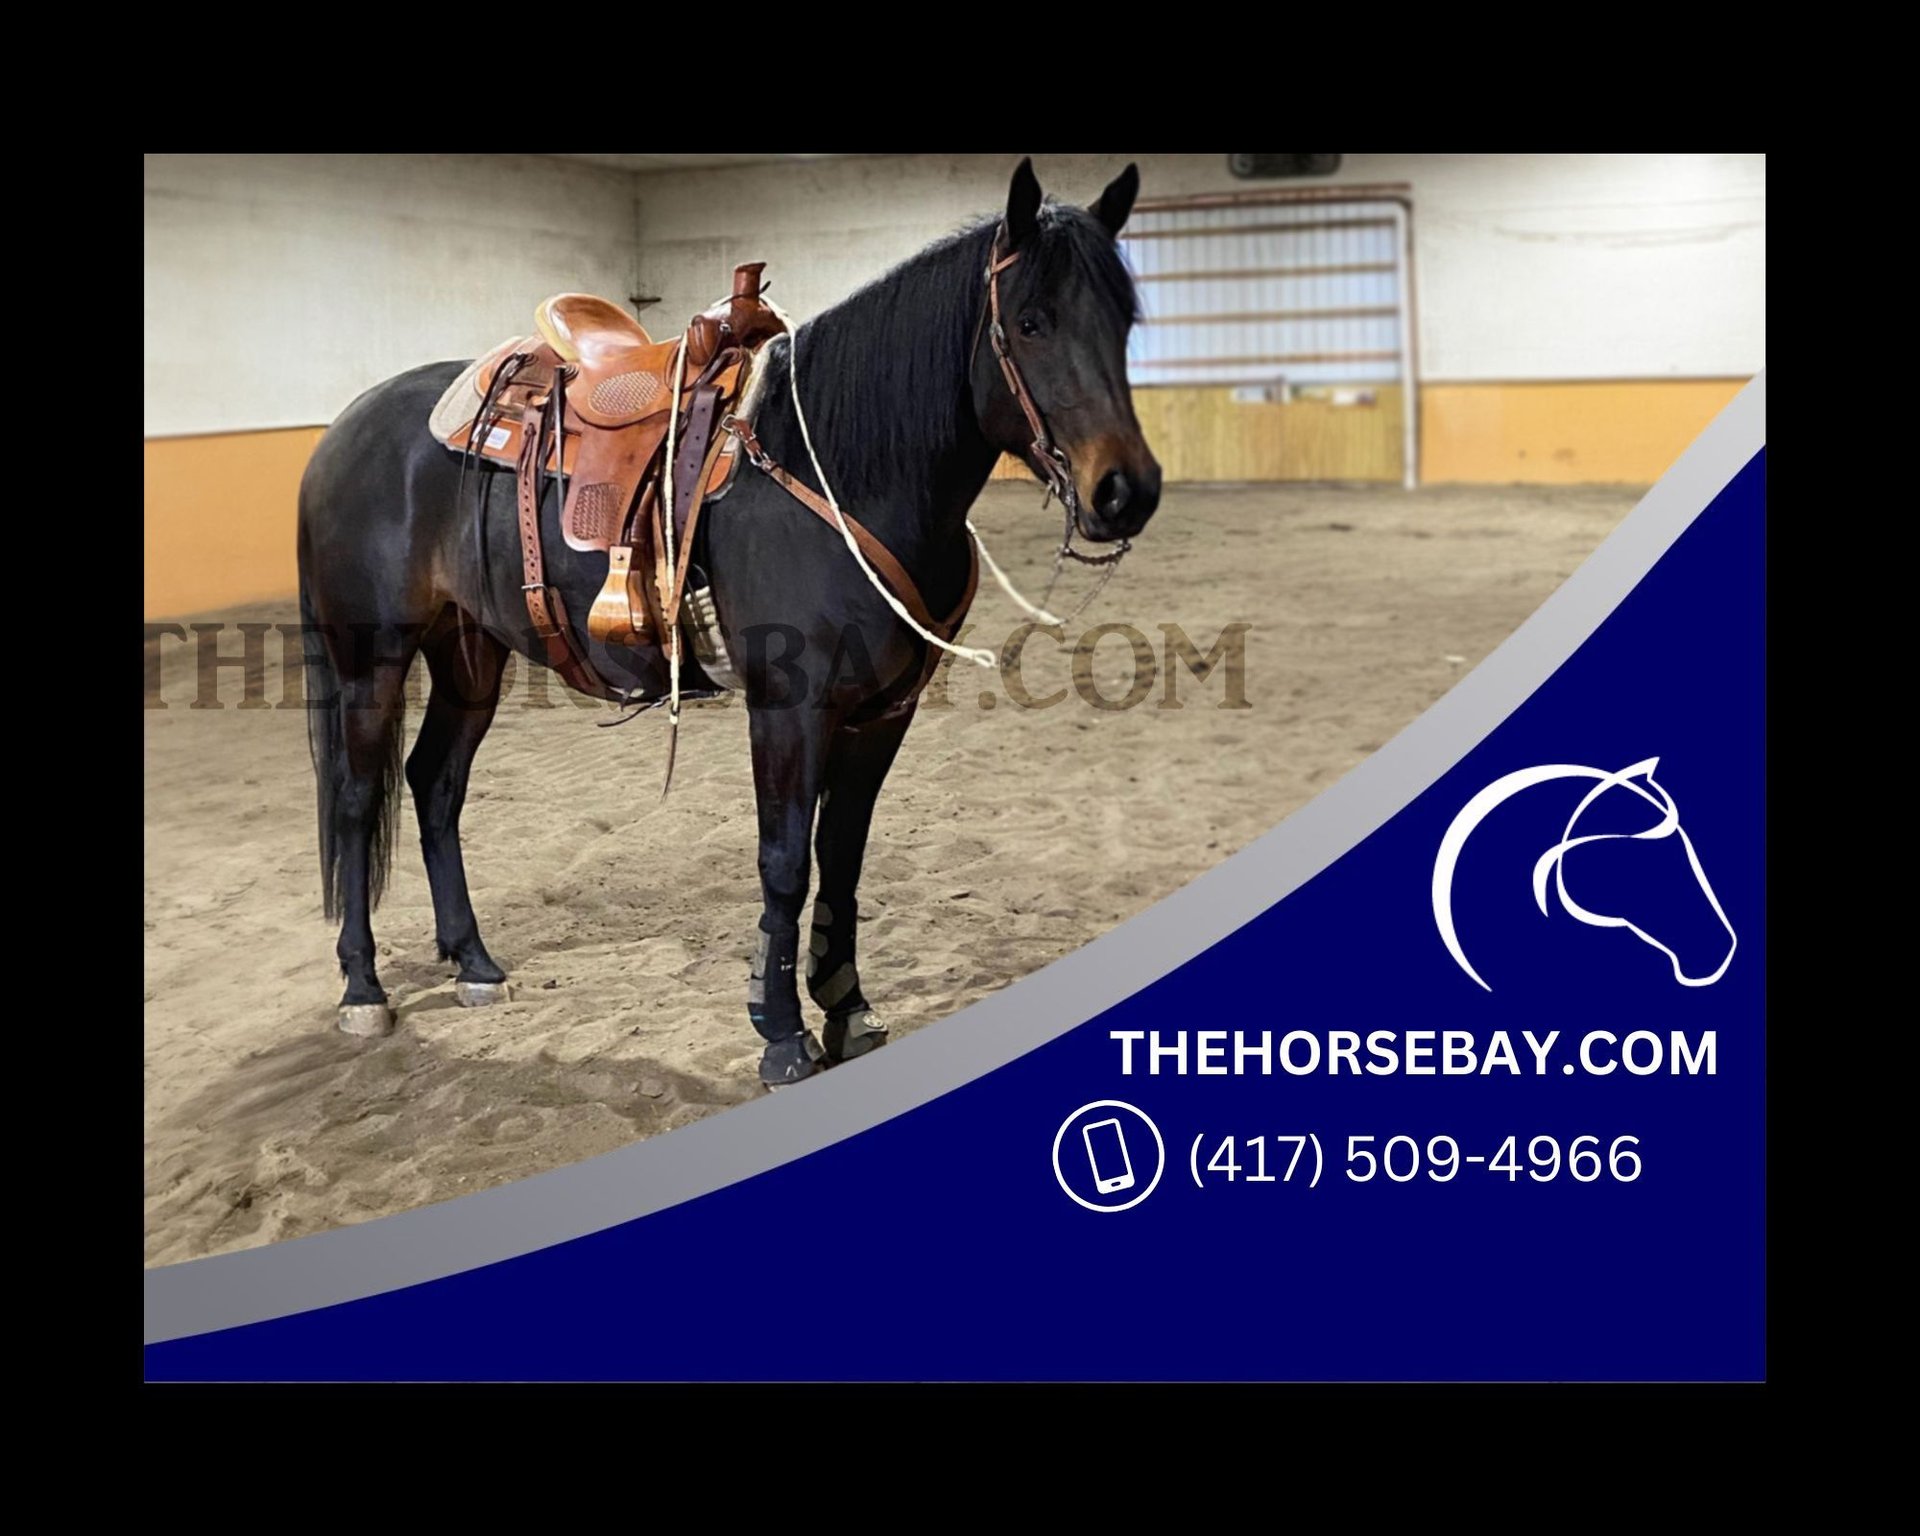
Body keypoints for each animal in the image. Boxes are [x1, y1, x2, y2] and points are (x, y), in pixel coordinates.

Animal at [296, 158, 1161, 1086]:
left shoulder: (881, 713)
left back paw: (474, 962)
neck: (849, 470)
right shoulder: (788, 709)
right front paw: (781, 1032)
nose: (1126, 491)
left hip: (469, 653)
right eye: (1031, 323)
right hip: (371, 659)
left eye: (1124, 320)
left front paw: (847, 1009)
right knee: (356, 798)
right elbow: (784, 864)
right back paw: (362, 987)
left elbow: (842, 856)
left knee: (435, 783)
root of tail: (347, 428)